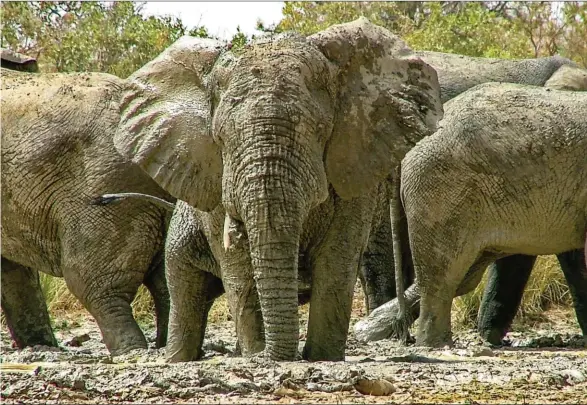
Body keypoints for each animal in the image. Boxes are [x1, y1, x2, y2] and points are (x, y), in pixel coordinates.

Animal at [110, 17, 444, 362]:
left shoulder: (355, 160)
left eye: (320, 131)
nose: (271, 354)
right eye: (220, 138)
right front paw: (259, 353)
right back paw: (182, 358)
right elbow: (238, 269)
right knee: (184, 288)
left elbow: (336, 259)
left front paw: (320, 357)